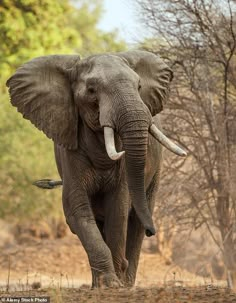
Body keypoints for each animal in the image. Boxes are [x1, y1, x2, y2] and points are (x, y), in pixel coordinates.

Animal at [6, 51, 186, 288]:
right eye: (91, 90)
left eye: (139, 86)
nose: (153, 231)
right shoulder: (70, 151)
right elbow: (77, 210)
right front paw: (107, 284)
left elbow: (118, 210)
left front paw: (116, 285)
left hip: (156, 172)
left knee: (135, 221)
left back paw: (128, 283)